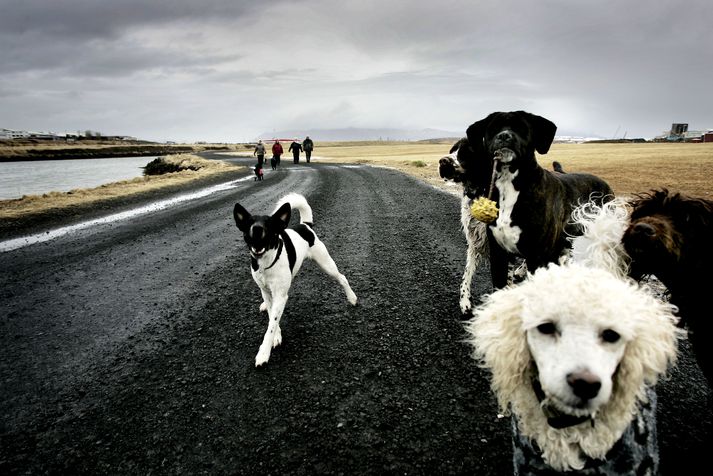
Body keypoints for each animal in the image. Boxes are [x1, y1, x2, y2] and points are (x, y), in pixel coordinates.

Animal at [232, 192, 356, 366]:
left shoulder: (280, 295)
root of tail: (305, 225)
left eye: (269, 225)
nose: (256, 229)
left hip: (326, 264)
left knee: (342, 278)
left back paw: (352, 297)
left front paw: (264, 352)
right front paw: (276, 335)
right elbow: (272, 317)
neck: (266, 262)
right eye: (249, 223)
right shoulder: (267, 292)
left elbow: (271, 325)